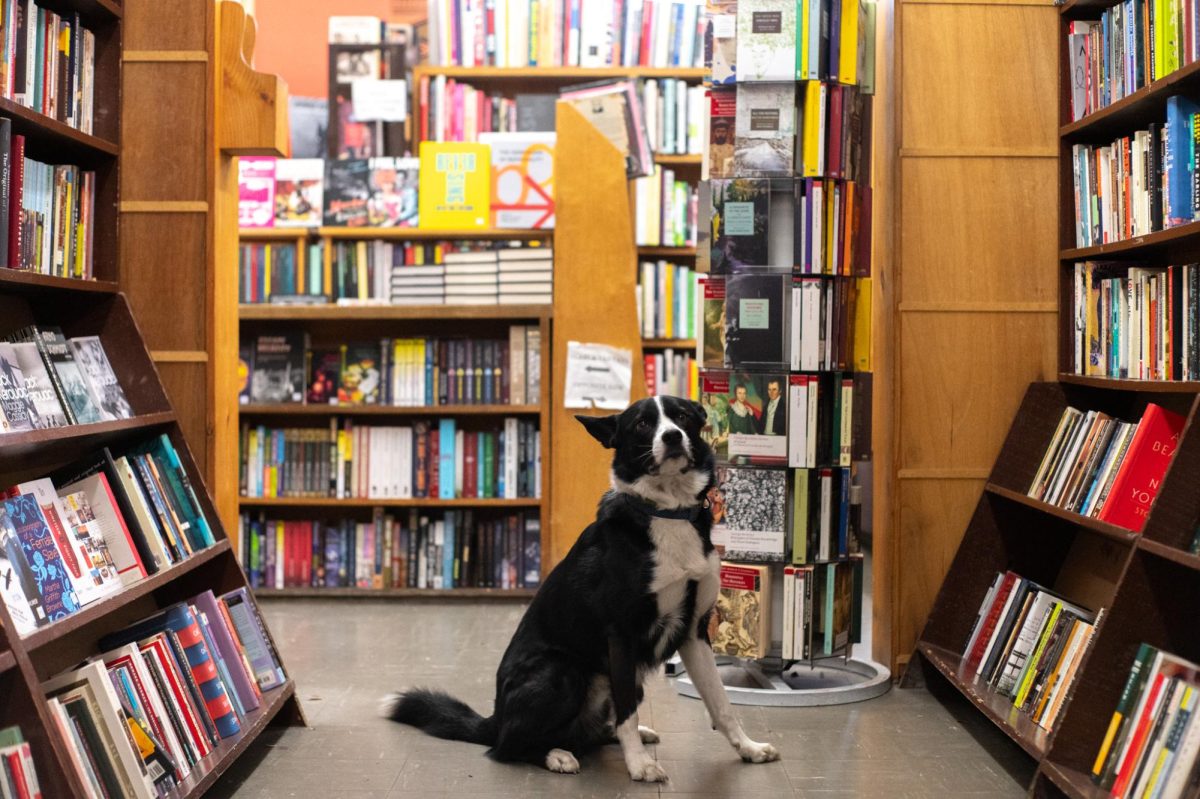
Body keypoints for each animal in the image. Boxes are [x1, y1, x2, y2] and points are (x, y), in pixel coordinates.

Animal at [379, 391, 782, 777]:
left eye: (682, 416)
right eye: (642, 424)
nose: (671, 436)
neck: (666, 512)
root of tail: (495, 718)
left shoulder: (695, 631)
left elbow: (721, 702)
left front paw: (748, 748)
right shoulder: (621, 634)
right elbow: (627, 712)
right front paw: (639, 766)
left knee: (594, 730)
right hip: (562, 671)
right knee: (506, 748)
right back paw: (556, 755)